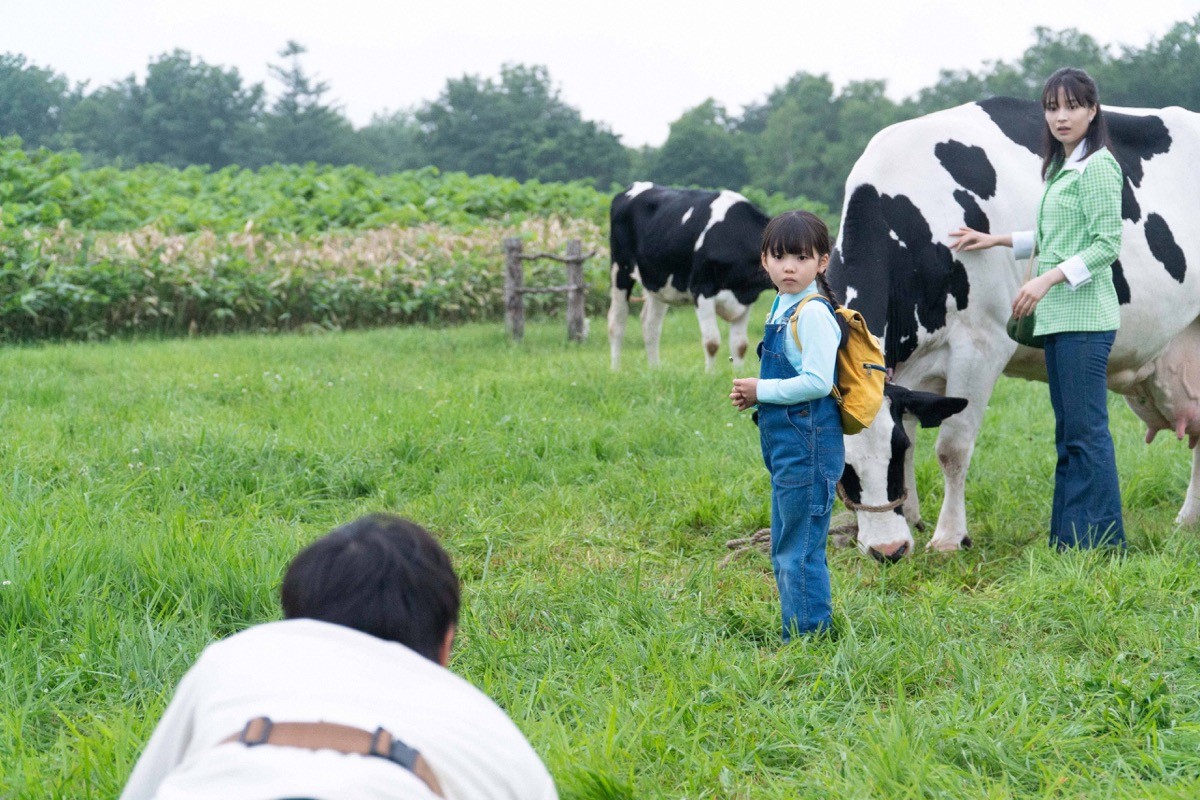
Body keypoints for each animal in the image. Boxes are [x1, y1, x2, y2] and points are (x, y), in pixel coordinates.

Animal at [604, 183, 772, 371]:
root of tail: (635, 186)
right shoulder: (701, 289)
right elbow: (712, 343)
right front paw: (710, 375)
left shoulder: (746, 297)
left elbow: (740, 346)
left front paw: (738, 374)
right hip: (620, 270)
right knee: (617, 322)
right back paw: (616, 369)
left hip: (658, 279)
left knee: (650, 325)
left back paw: (655, 370)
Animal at [830, 97, 1200, 561]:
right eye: (842, 467)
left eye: (890, 452)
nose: (888, 550)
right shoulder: (910, 368)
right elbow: (915, 430)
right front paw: (913, 518)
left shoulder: (981, 345)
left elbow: (951, 448)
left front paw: (949, 537)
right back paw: (1189, 521)